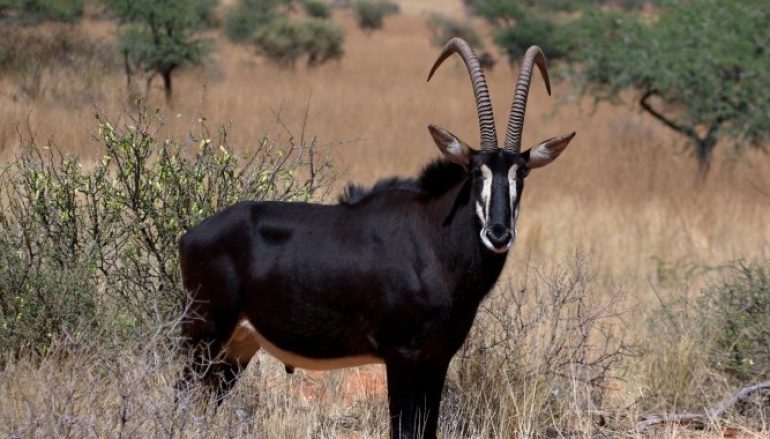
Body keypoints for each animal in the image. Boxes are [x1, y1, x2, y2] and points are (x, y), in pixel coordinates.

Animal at [174, 38, 568, 439]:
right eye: (476, 172)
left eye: (521, 173)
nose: (498, 233)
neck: (435, 241)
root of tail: (191, 235)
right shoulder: (402, 356)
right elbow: (403, 430)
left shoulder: (437, 358)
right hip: (204, 333)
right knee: (183, 399)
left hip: (237, 346)